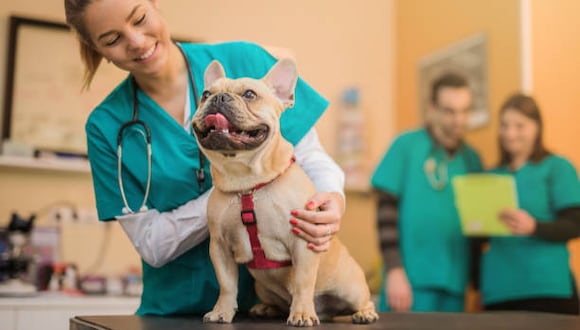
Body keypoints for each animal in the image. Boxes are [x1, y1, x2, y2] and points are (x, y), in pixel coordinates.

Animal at [193, 58, 378, 324]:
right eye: (205, 95)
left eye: (249, 94)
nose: (219, 98)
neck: (247, 182)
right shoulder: (220, 247)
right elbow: (226, 284)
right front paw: (221, 311)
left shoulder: (303, 241)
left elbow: (302, 282)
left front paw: (301, 313)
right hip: (262, 287)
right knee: (276, 301)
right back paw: (266, 308)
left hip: (351, 288)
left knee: (364, 299)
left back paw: (364, 313)